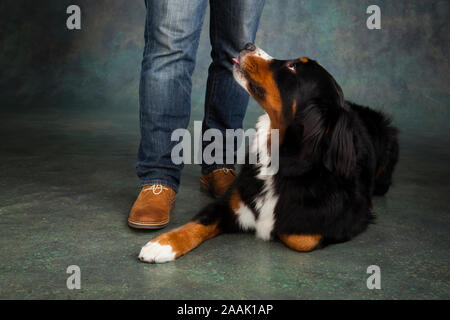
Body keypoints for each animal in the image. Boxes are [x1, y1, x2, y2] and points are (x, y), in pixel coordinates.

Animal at [139, 42, 400, 262]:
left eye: (293, 67)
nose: (247, 45)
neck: (278, 157)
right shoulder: (231, 202)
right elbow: (198, 222)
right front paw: (161, 244)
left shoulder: (349, 216)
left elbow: (300, 237)